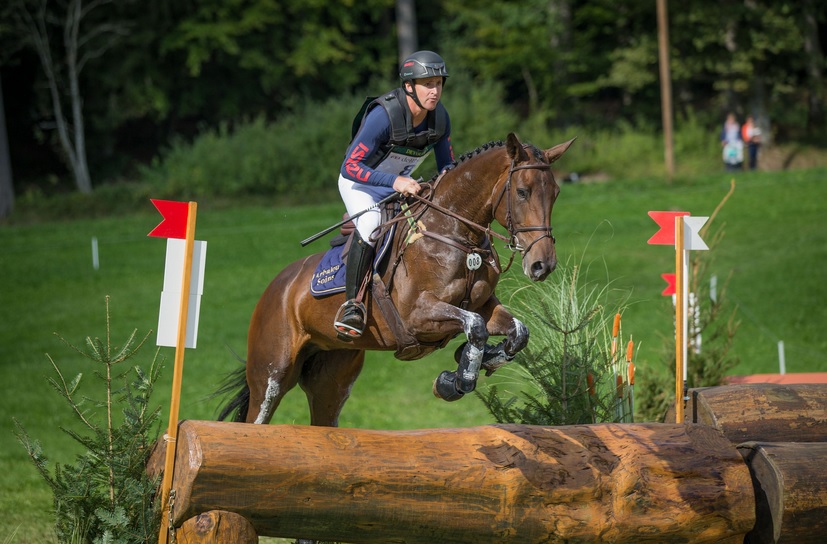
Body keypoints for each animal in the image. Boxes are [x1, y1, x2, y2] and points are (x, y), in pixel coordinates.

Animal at [218, 133, 576, 430]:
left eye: (556, 193)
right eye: (522, 192)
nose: (542, 264)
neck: (455, 231)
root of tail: (276, 287)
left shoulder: (484, 305)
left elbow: (516, 331)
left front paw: (474, 360)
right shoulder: (416, 316)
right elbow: (474, 326)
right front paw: (454, 380)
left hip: (333, 379)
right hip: (271, 375)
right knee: (257, 417)